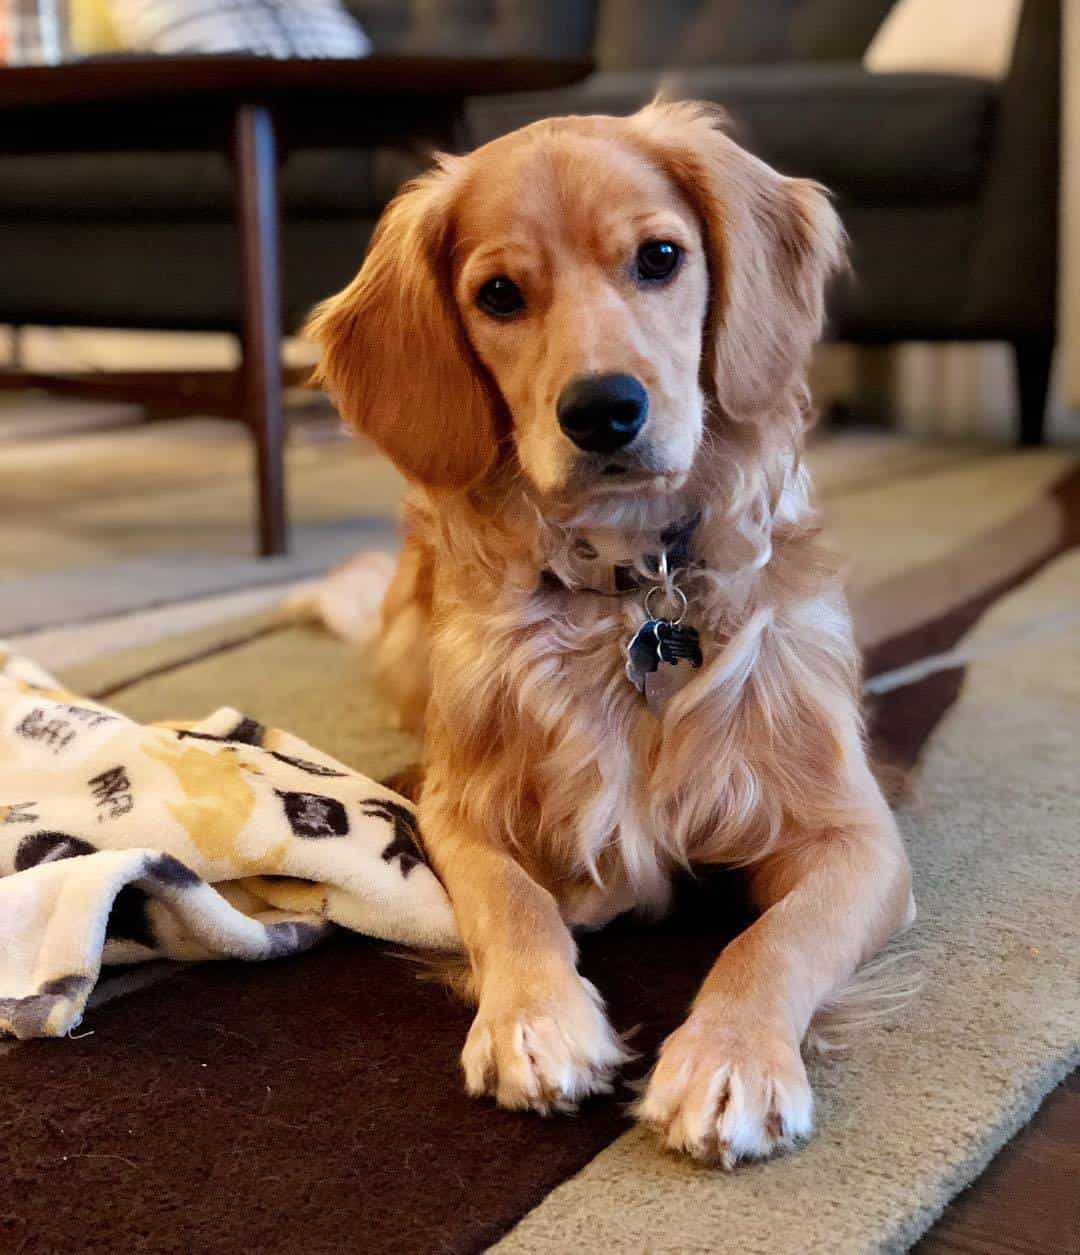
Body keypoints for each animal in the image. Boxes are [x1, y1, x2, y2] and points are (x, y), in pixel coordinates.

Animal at [307, 102, 913, 1169]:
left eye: (659, 257)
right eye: (499, 294)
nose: (603, 409)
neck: (636, 590)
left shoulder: (857, 833)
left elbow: (774, 939)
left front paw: (729, 1055)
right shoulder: (452, 806)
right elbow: (509, 899)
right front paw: (535, 1018)